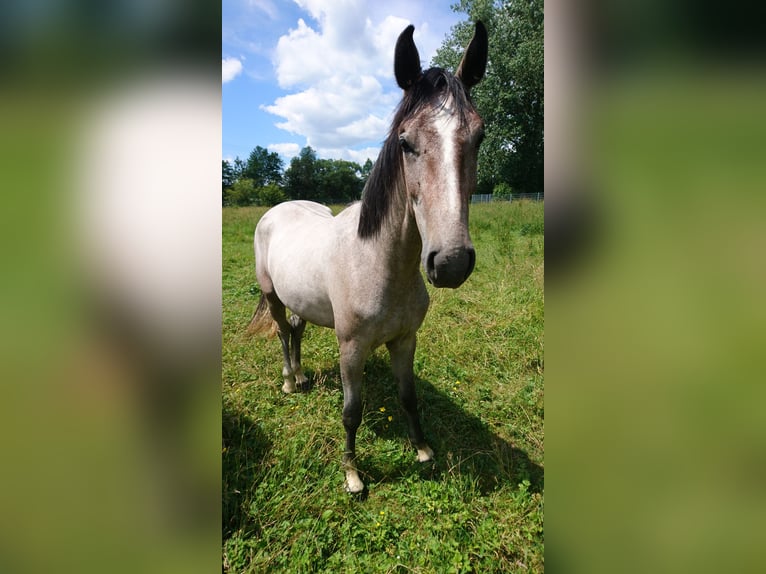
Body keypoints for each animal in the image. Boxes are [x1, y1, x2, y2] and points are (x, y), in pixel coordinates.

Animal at [248, 22, 488, 493]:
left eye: (480, 136)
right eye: (405, 142)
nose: (450, 262)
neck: (379, 264)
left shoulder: (405, 340)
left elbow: (408, 397)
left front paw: (423, 450)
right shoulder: (352, 349)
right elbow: (351, 412)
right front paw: (352, 474)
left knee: (297, 331)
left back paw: (301, 376)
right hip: (272, 296)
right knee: (283, 333)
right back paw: (288, 382)